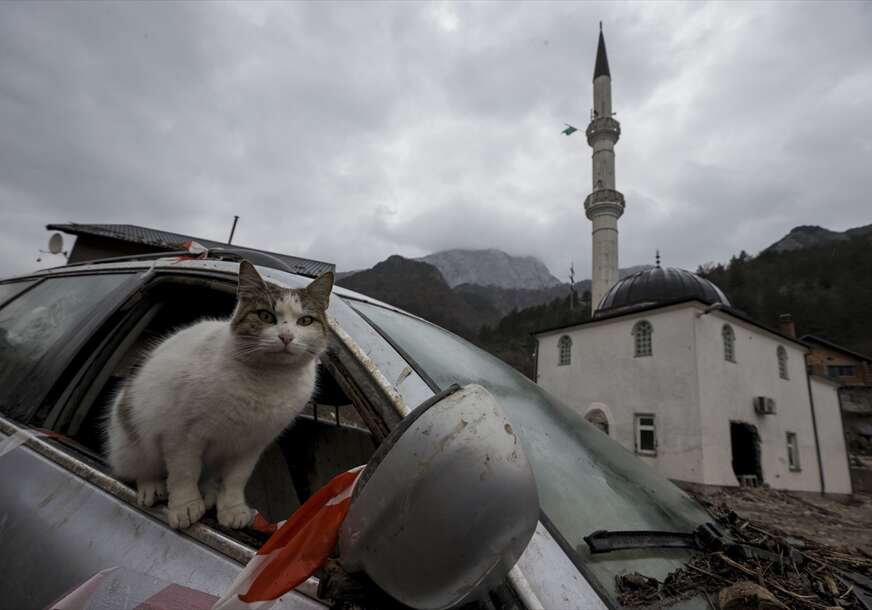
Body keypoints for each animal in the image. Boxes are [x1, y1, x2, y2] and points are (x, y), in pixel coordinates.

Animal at [109, 260, 334, 528]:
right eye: (265, 316)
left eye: (305, 321)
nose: (286, 337)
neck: (268, 381)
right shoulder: (181, 434)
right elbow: (184, 472)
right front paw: (185, 505)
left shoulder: (253, 443)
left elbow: (237, 478)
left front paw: (232, 508)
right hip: (132, 438)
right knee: (140, 468)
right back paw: (152, 486)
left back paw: (208, 493)